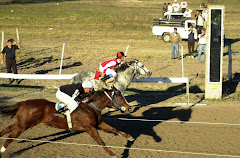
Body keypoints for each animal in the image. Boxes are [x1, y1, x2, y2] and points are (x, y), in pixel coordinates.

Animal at [0, 87, 133, 157]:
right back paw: (3, 150)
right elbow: (101, 141)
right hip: (23, 125)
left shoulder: (98, 124)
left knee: (7, 129)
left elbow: (113, 129)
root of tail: (23, 102)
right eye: (120, 97)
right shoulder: (90, 128)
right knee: (11, 136)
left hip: (21, 123)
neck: (90, 107)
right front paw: (112, 154)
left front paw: (129, 137)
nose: (129, 108)